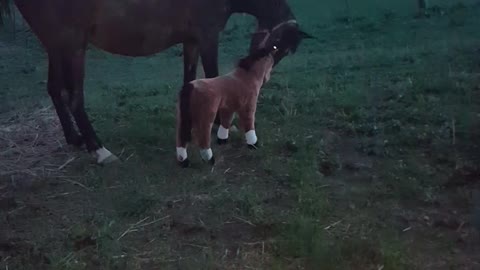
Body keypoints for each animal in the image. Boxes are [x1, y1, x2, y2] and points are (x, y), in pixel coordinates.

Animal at [0, 0, 312, 165]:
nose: (262, 77)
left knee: (54, 90)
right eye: (278, 48)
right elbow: (212, 77)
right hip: (73, 47)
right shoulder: (207, 37)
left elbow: (189, 81)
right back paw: (99, 150)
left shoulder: (191, 41)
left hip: (56, 47)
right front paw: (219, 126)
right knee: (74, 97)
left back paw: (75, 139)